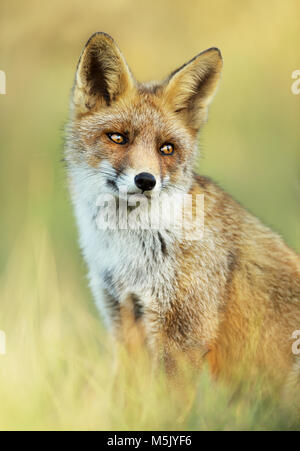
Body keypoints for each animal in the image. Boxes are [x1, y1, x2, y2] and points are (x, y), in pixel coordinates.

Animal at [65, 32, 300, 396]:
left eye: (167, 149)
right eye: (118, 137)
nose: (146, 180)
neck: (128, 255)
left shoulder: (182, 335)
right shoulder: (123, 317)